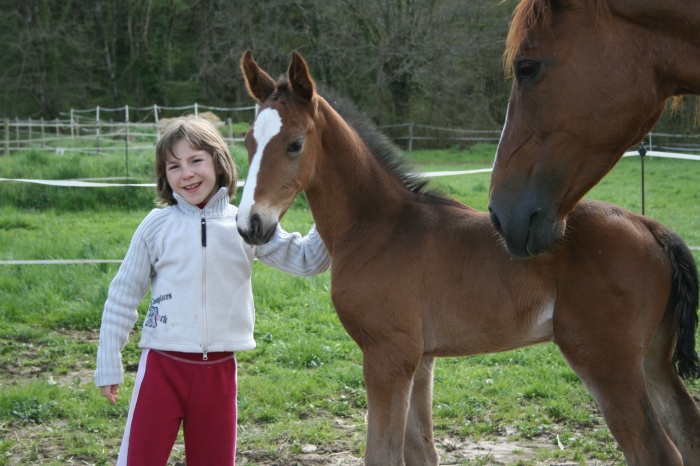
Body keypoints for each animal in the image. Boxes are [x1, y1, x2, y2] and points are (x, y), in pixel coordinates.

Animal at [237, 52, 700, 466]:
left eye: (295, 144)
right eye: (247, 141)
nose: (250, 225)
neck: (379, 227)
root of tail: (650, 226)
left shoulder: (387, 355)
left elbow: (382, 453)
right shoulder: (420, 360)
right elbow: (421, 451)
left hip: (604, 358)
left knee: (656, 450)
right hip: (652, 357)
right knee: (687, 431)